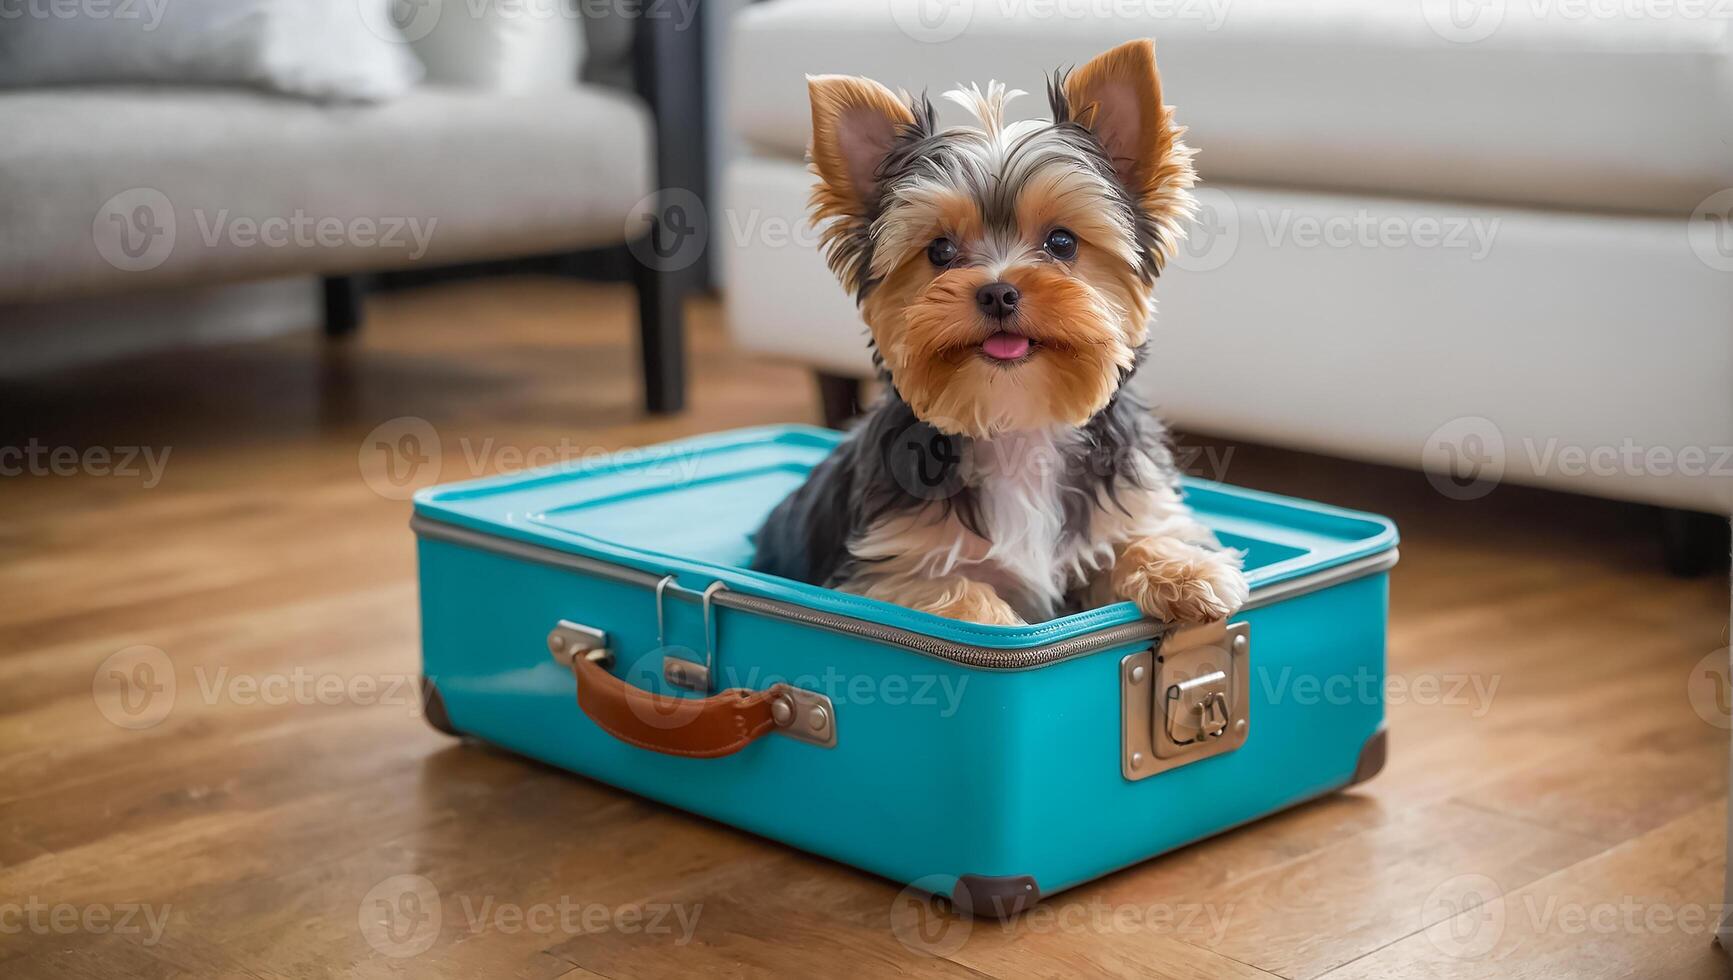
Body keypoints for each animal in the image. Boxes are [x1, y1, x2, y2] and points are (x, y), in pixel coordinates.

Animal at [748, 40, 1247, 627]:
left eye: (1061, 242)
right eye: (940, 250)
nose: (998, 292)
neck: (1014, 422)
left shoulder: (1121, 512)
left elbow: (1138, 538)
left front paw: (1188, 572)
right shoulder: (884, 570)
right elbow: (951, 591)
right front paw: (993, 620)